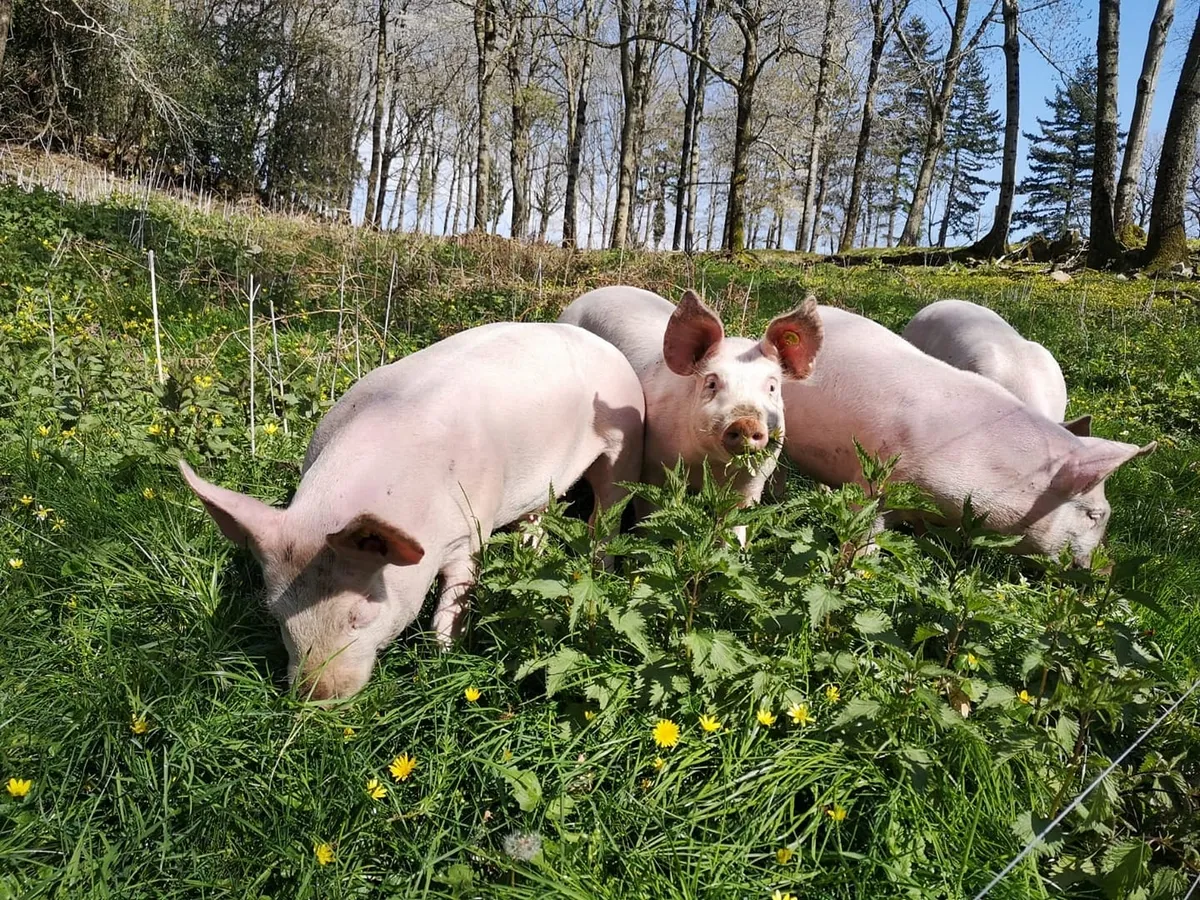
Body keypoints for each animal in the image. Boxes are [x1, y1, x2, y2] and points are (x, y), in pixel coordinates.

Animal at [176, 324, 643, 705]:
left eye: (361, 611)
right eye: (277, 613)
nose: (317, 698)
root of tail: (597, 340)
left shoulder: (472, 528)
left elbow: (456, 595)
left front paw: (445, 657)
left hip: (625, 444)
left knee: (608, 511)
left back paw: (599, 569)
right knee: (538, 521)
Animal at [554, 285, 820, 540]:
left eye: (772, 387)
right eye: (711, 383)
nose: (746, 422)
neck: (708, 466)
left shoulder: (754, 480)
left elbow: (735, 525)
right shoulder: (652, 467)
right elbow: (650, 516)